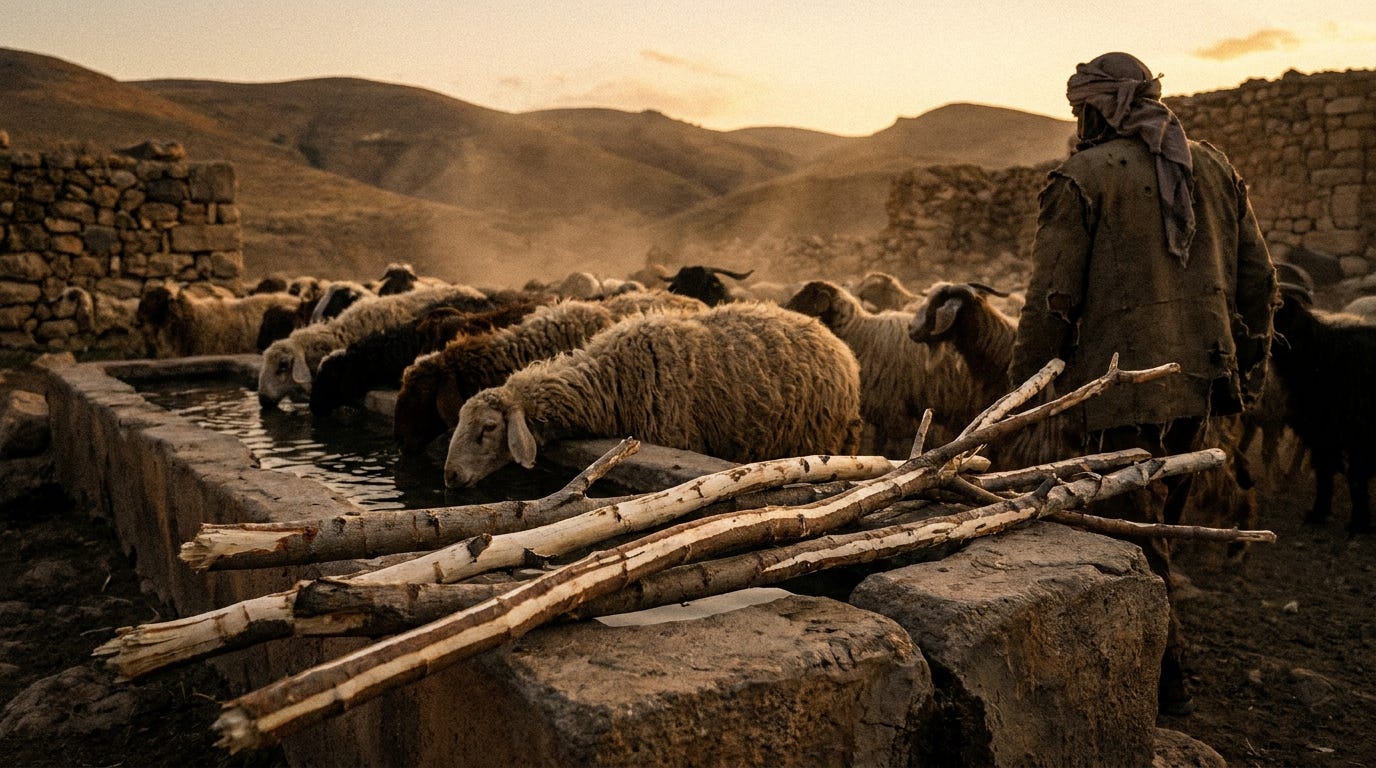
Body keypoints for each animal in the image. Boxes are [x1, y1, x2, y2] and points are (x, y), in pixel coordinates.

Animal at [1270, 286, 1376, 534]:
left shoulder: (1358, 433)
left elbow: (1355, 476)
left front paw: (1359, 523)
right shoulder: (1320, 430)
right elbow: (1324, 472)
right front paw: (1319, 513)